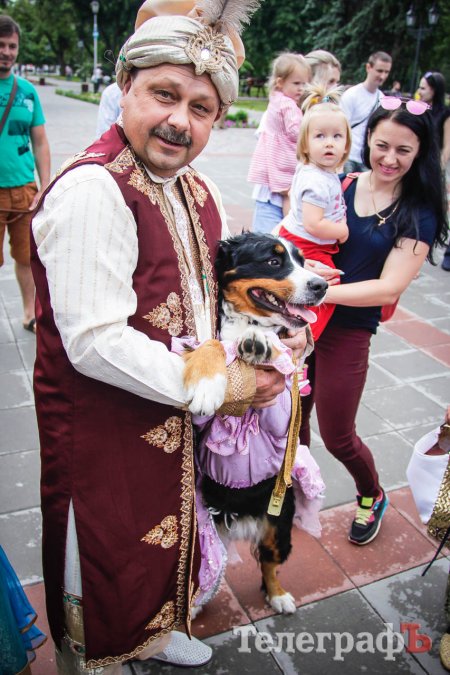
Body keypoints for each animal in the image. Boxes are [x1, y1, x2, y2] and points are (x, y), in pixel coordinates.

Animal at [180, 232, 327, 614]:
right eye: (273, 261)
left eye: (302, 261)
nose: (322, 285)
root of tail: (241, 520)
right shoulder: (201, 424)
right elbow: (213, 344)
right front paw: (207, 381)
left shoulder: (283, 414)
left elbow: (271, 344)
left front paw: (261, 342)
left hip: (279, 524)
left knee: (269, 563)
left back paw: (279, 596)